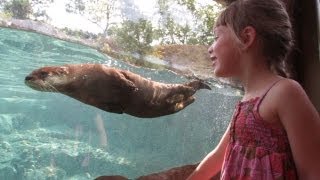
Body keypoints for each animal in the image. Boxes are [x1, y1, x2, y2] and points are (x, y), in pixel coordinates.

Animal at [25, 63, 210, 118]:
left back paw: (199, 85)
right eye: (33, 71)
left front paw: (131, 86)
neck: (83, 80)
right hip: (173, 106)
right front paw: (117, 110)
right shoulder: (91, 99)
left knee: (186, 88)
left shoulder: (106, 71)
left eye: (43, 73)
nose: (27, 77)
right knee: (184, 102)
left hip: (170, 88)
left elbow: (122, 77)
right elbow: (106, 106)